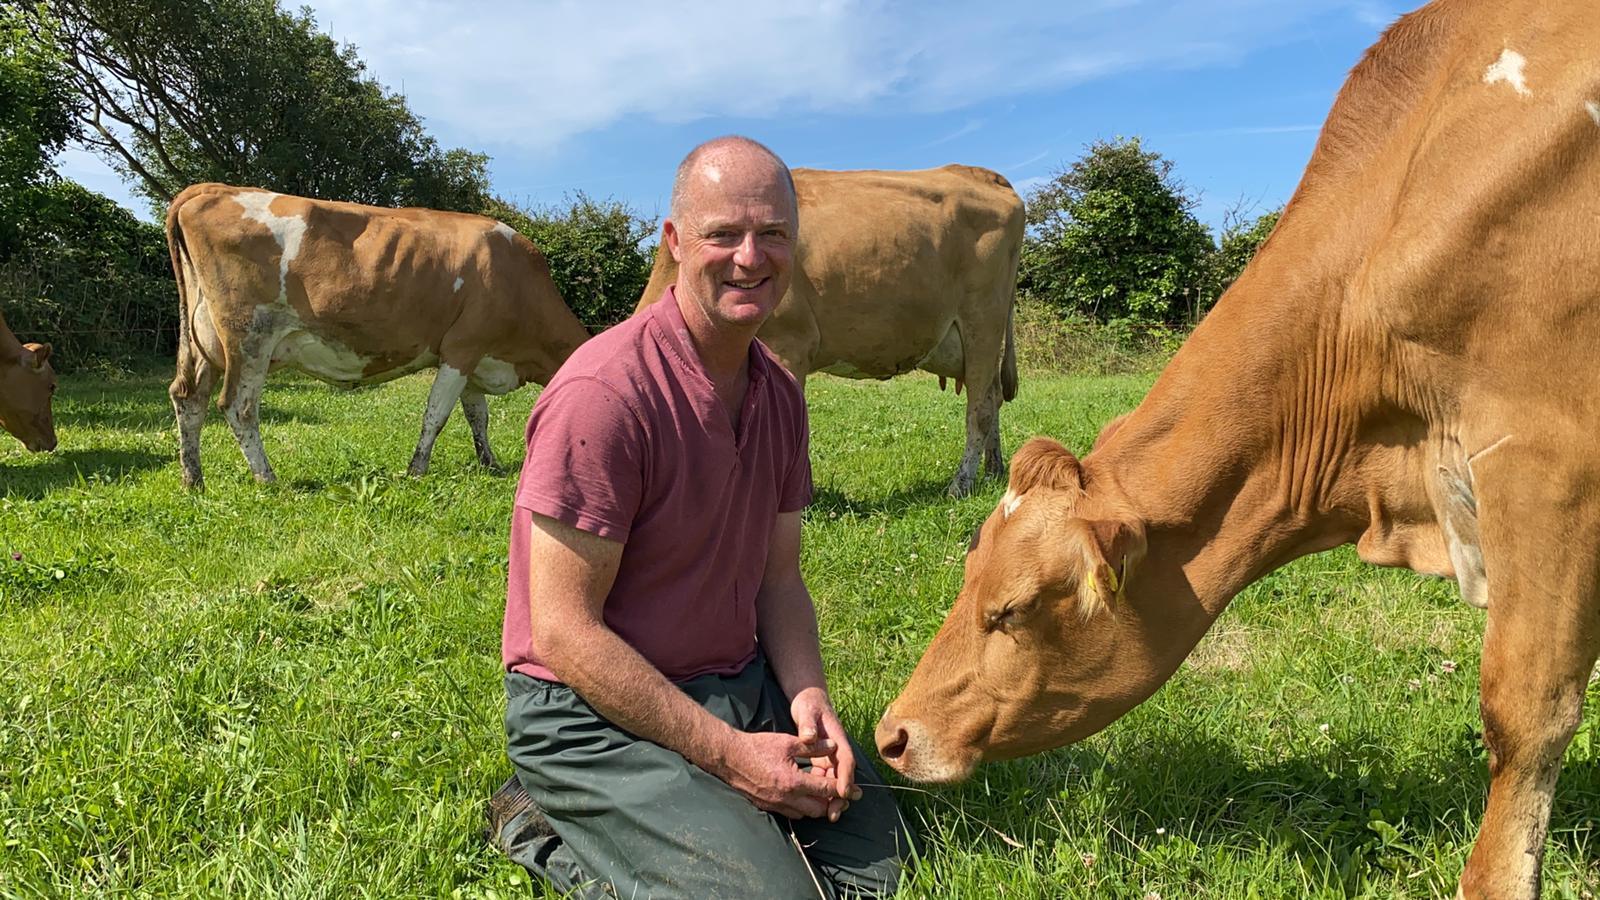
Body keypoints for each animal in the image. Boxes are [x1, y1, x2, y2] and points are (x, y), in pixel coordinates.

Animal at [165, 183, 592, 486]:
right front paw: (416, 470)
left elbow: (477, 416)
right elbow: (436, 415)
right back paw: (267, 478)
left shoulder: (474, 355)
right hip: (250, 336)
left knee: (189, 398)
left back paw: (194, 479)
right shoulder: (462, 347)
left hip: (204, 343)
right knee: (238, 406)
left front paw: (489, 462)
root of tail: (211, 188)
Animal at [630, 164, 1017, 493]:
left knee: (979, 408)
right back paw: (993, 471)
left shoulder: (789, 344)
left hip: (983, 320)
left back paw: (962, 483)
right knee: (993, 395)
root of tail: (984, 175)